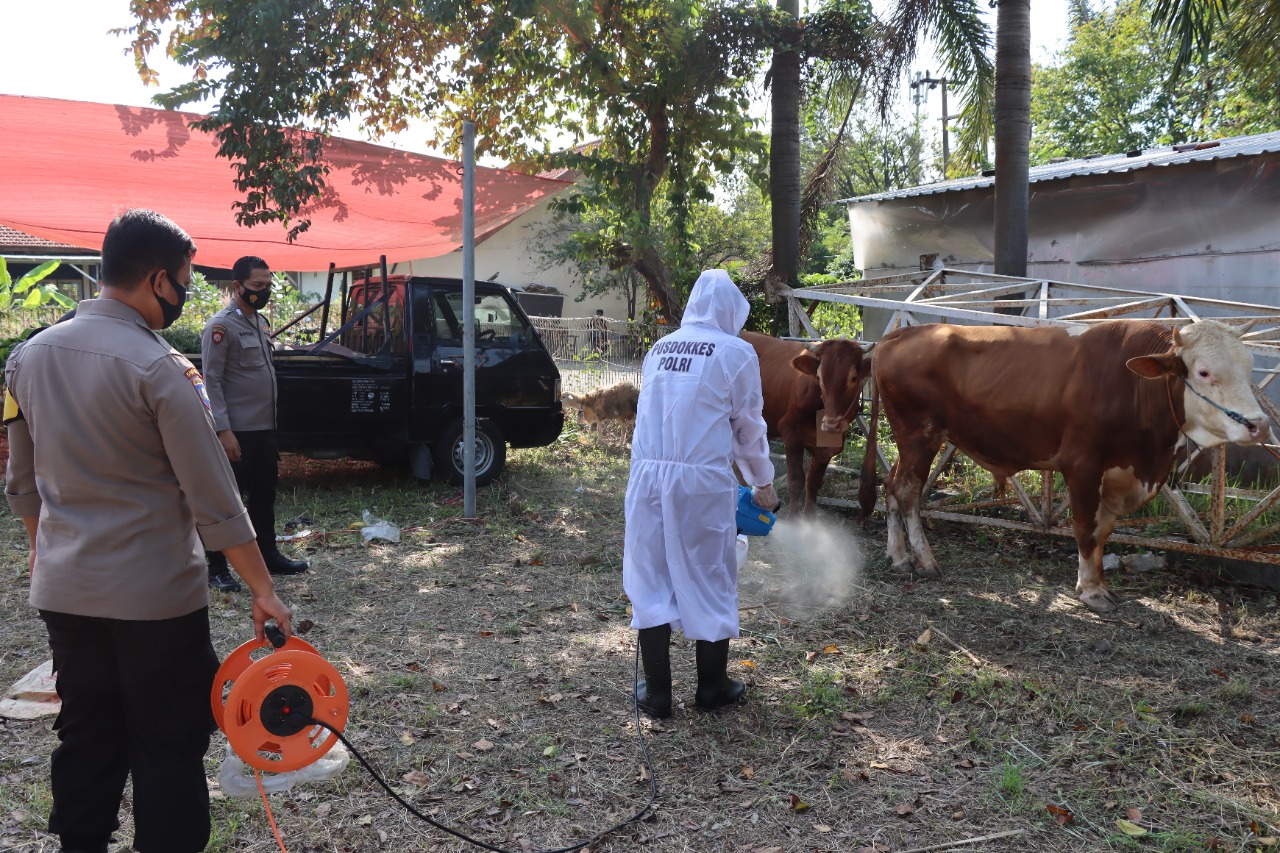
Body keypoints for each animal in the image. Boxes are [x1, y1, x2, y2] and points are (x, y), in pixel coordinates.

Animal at [747, 333, 875, 514]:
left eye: (854, 378)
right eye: (819, 377)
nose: (831, 424)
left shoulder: (828, 448)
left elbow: (813, 483)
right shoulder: (791, 434)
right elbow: (796, 482)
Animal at [860, 320, 1269, 612]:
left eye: (1249, 368)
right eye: (1203, 372)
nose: (1259, 424)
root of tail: (901, 333)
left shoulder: (1118, 473)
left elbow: (1103, 531)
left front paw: (1099, 583)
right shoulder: (1082, 466)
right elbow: (1086, 529)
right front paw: (1091, 592)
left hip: (911, 441)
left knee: (891, 484)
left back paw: (898, 556)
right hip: (920, 435)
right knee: (908, 491)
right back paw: (925, 560)